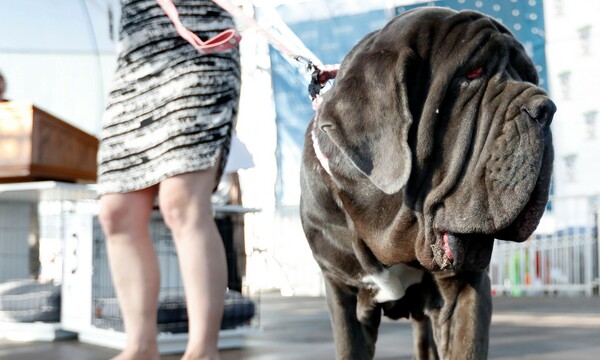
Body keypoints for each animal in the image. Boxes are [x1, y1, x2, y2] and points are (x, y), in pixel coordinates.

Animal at [298, 6, 552, 360]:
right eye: (472, 74)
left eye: (531, 77)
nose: (546, 108)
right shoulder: (341, 289)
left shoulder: (464, 288)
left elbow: (466, 346)